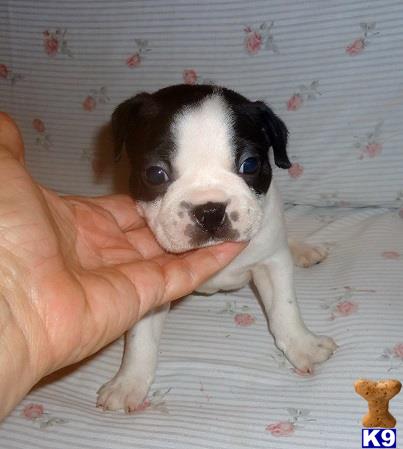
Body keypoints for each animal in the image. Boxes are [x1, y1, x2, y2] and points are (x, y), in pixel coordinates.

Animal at [96, 84, 337, 412]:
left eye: (250, 165)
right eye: (155, 174)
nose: (209, 210)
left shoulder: (271, 262)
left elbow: (284, 309)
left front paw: (304, 346)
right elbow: (139, 338)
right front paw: (128, 382)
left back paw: (302, 250)